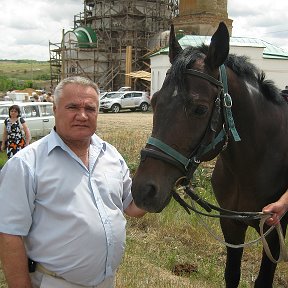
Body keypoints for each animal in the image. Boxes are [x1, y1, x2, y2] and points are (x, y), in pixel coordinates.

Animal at [132, 23, 288, 288]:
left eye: (200, 109)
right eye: (154, 101)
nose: (143, 190)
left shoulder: (273, 234)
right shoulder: (231, 224)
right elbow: (232, 275)